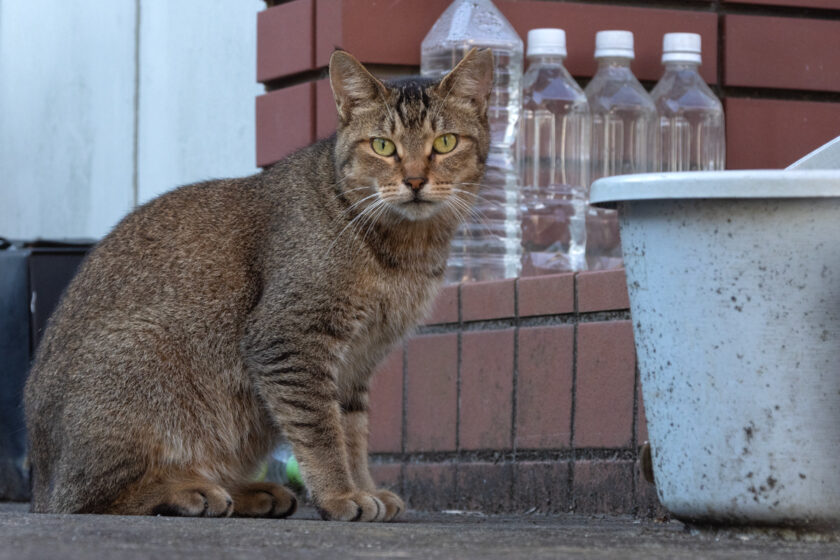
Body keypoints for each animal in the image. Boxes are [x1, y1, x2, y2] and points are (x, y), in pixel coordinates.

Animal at [23, 47, 492, 520]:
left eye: (445, 143)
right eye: (383, 146)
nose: (415, 181)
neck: (406, 250)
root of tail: (40, 485)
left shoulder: (357, 362)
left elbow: (352, 433)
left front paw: (364, 487)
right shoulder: (288, 338)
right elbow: (321, 432)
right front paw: (340, 495)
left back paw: (251, 491)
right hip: (143, 356)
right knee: (86, 499)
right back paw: (186, 491)